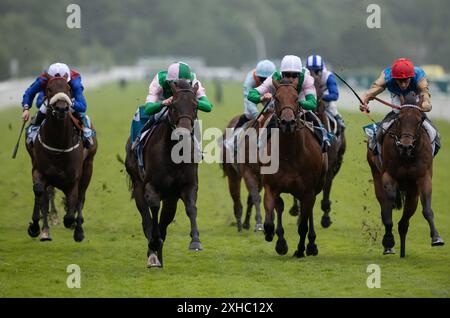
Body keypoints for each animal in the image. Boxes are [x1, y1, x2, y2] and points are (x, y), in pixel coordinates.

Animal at [26, 76, 97, 241]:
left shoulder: (73, 180)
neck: (58, 143)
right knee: (44, 195)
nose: (61, 109)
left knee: (81, 197)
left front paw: (76, 227)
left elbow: (72, 209)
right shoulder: (39, 171)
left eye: (69, 89)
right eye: (49, 89)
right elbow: (39, 192)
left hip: (88, 166)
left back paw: (77, 226)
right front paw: (36, 227)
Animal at [126, 79, 204, 268]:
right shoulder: (151, 186)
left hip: (170, 198)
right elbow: (154, 207)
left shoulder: (188, 186)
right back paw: (153, 253)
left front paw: (195, 241)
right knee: (146, 219)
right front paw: (154, 243)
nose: (183, 134)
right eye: (173, 105)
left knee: (165, 221)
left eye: (195, 105)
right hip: (138, 185)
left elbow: (191, 207)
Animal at [260, 78, 326, 258]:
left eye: (297, 98)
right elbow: (270, 216)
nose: (288, 122)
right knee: (281, 207)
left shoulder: (308, 190)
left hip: (316, 187)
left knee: (308, 212)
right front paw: (273, 236)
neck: (290, 154)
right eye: (276, 98)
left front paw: (300, 249)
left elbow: (302, 225)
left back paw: (311, 245)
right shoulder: (271, 187)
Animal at [368, 97, 444, 256]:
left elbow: (427, 209)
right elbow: (388, 206)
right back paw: (389, 245)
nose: (405, 146)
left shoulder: (423, 178)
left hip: (412, 192)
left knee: (404, 222)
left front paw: (436, 237)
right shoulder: (388, 176)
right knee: (385, 206)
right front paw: (388, 241)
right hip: (376, 176)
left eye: (420, 120)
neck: (407, 157)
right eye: (399, 119)